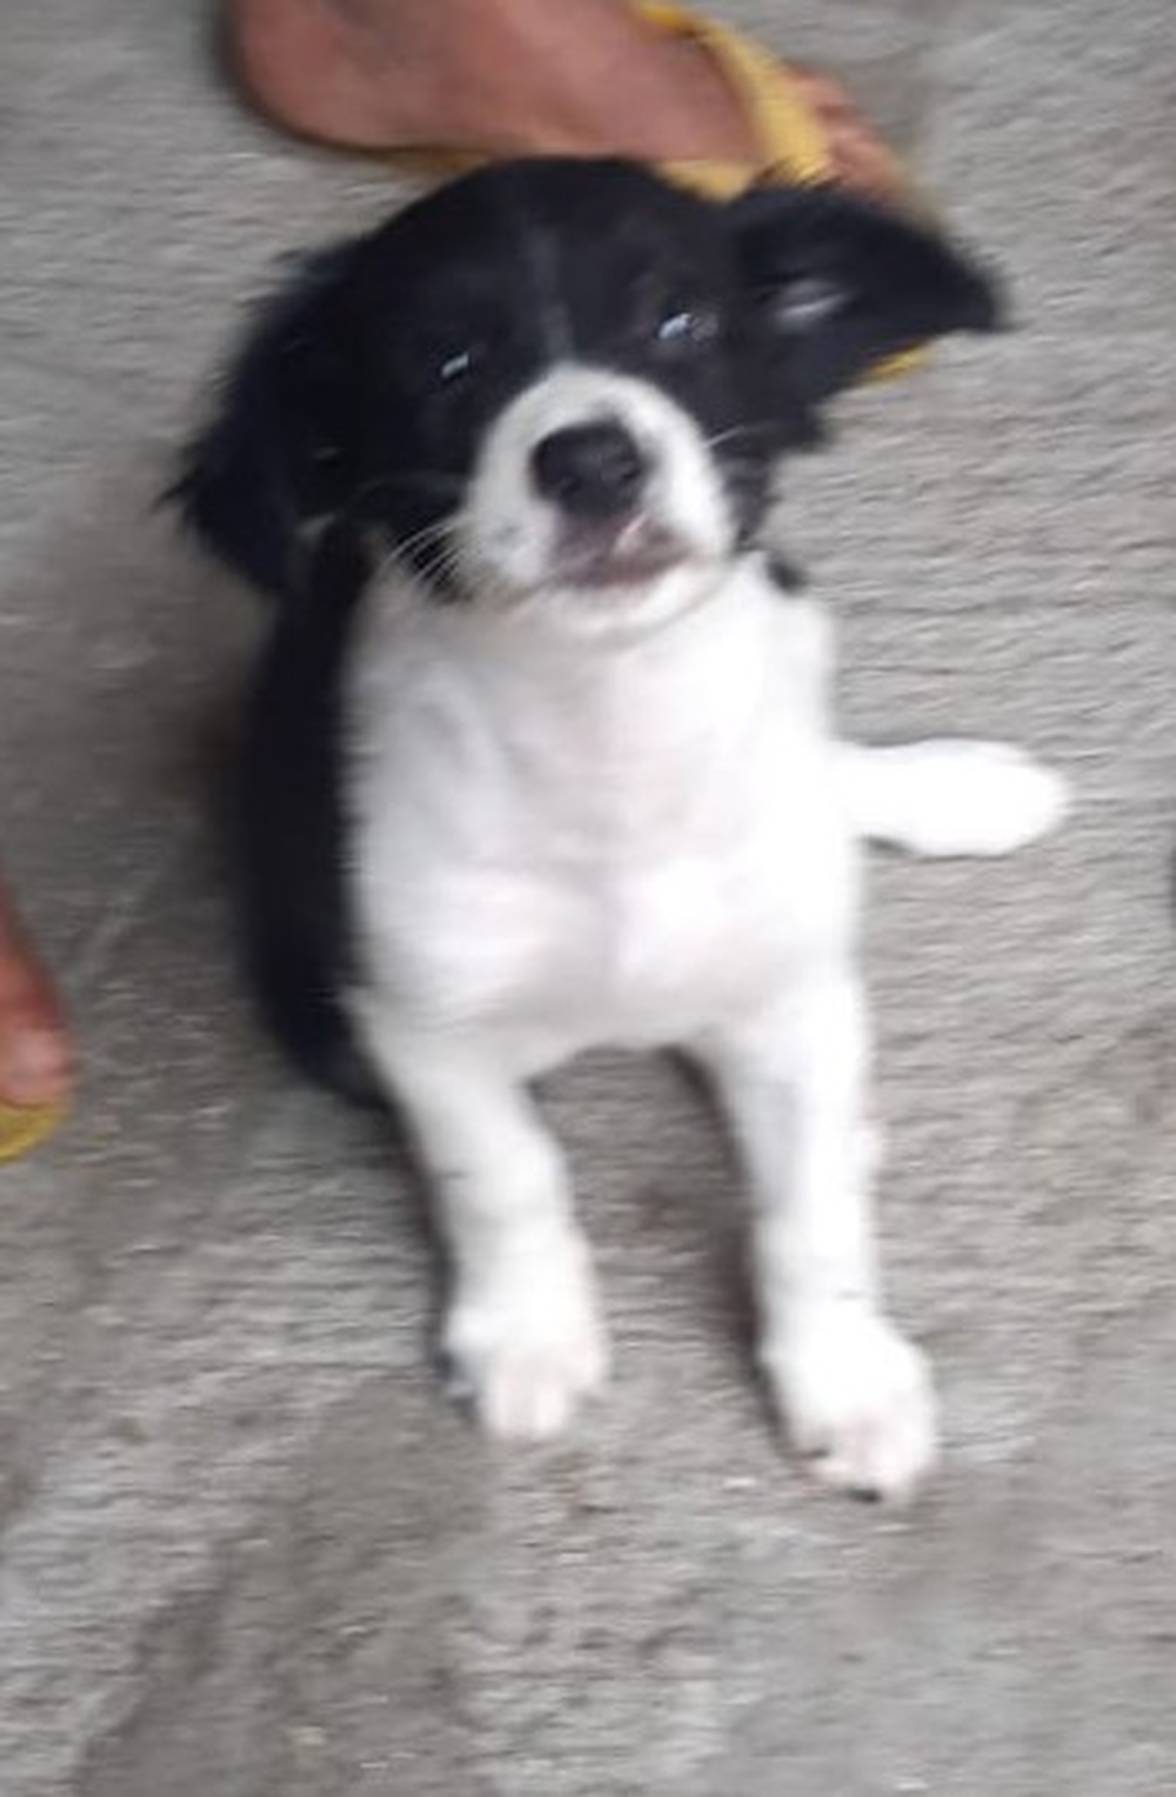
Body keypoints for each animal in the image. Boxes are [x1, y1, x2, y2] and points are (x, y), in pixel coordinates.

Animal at [176, 159, 1066, 1500]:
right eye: (446, 362)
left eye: (679, 322)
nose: (592, 462)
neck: (611, 734)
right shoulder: (419, 1024)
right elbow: (505, 1175)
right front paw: (527, 1336)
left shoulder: (797, 990)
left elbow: (807, 1217)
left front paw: (844, 1372)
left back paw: (948, 794)